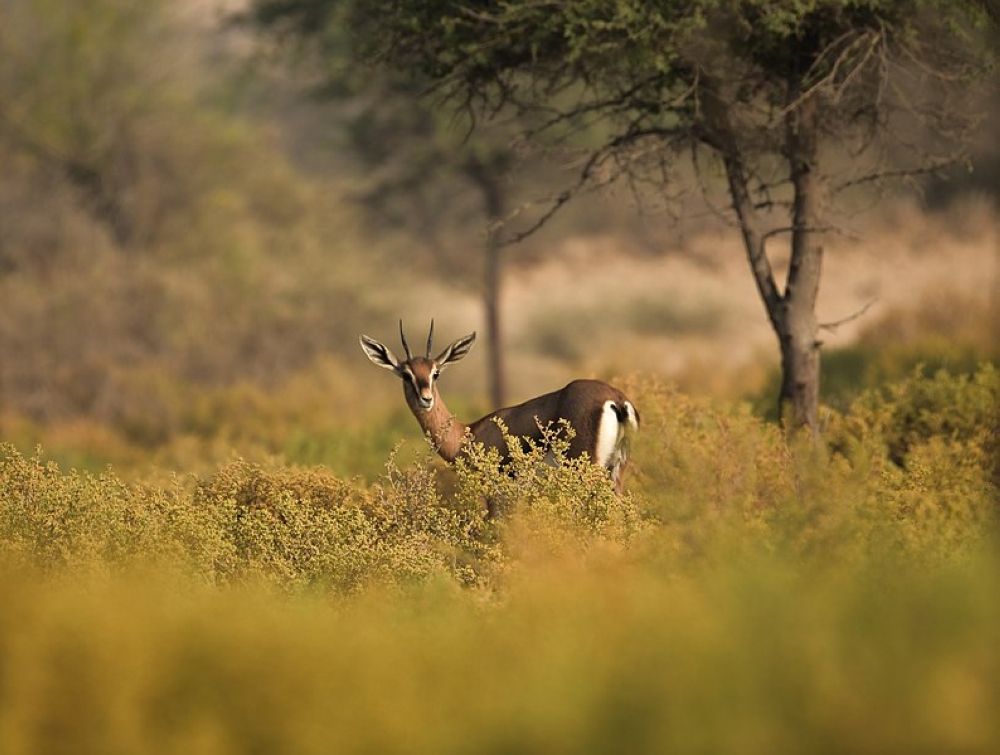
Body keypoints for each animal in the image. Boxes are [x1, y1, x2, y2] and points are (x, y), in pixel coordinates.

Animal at [360, 318, 640, 496]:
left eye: (435, 373)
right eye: (406, 375)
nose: (426, 399)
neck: (467, 435)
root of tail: (616, 399)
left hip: (585, 471)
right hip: (616, 474)